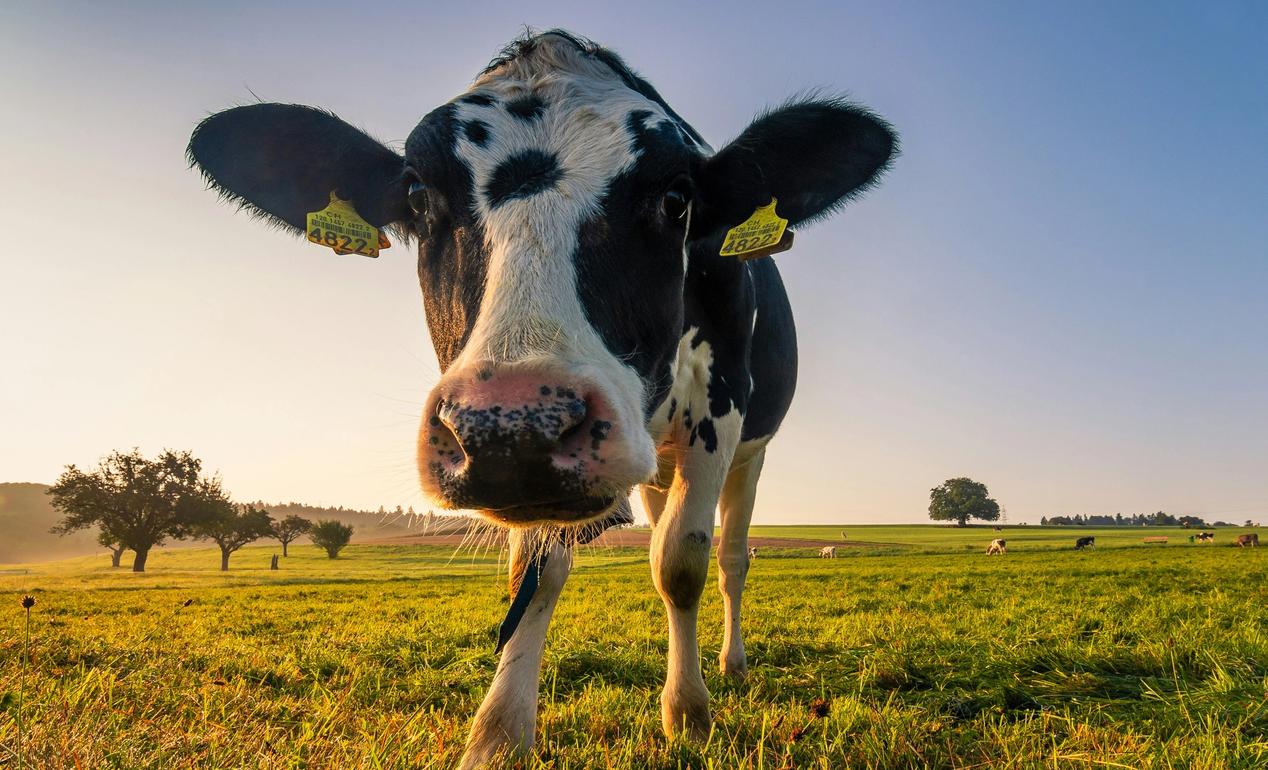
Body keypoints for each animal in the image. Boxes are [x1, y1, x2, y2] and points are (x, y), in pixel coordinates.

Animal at [185, 30, 895, 768]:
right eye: (417, 195)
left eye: (677, 198)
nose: (513, 425)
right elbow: (536, 572)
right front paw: (499, 733)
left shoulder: (719, 405)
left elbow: (682, 563)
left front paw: (688, 714)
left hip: (750, 453)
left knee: (730, 559)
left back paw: (729, 662)